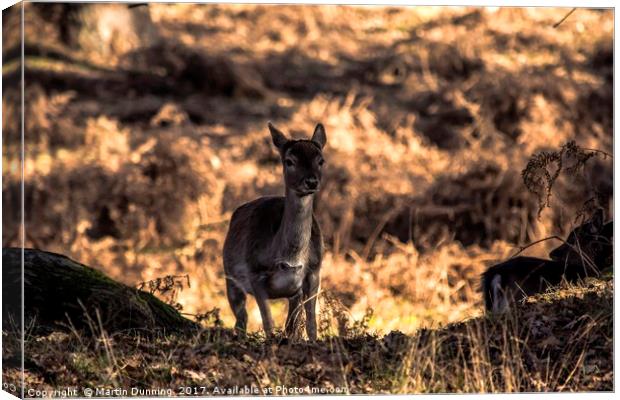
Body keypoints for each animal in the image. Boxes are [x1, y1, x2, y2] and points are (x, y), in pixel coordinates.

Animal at [224, 121, 330, 340]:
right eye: (289, 161)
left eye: (321, 160)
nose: (311, 181)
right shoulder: (254, 272)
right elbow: (268, 323)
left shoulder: (314, 271)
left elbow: (310, 324)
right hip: (229, 276)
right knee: (241, 319)